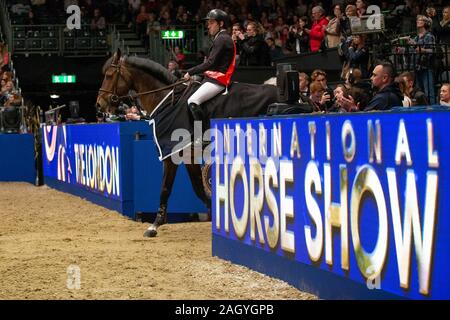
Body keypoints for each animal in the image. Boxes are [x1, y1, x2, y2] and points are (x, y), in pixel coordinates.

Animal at [96, 48, 278, 238]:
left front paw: (154, 226)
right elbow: (197, 188)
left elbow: (165, 189)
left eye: (109, 75)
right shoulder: (188, 157)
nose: (99, 105)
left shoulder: (171, 155)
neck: (166, 101)